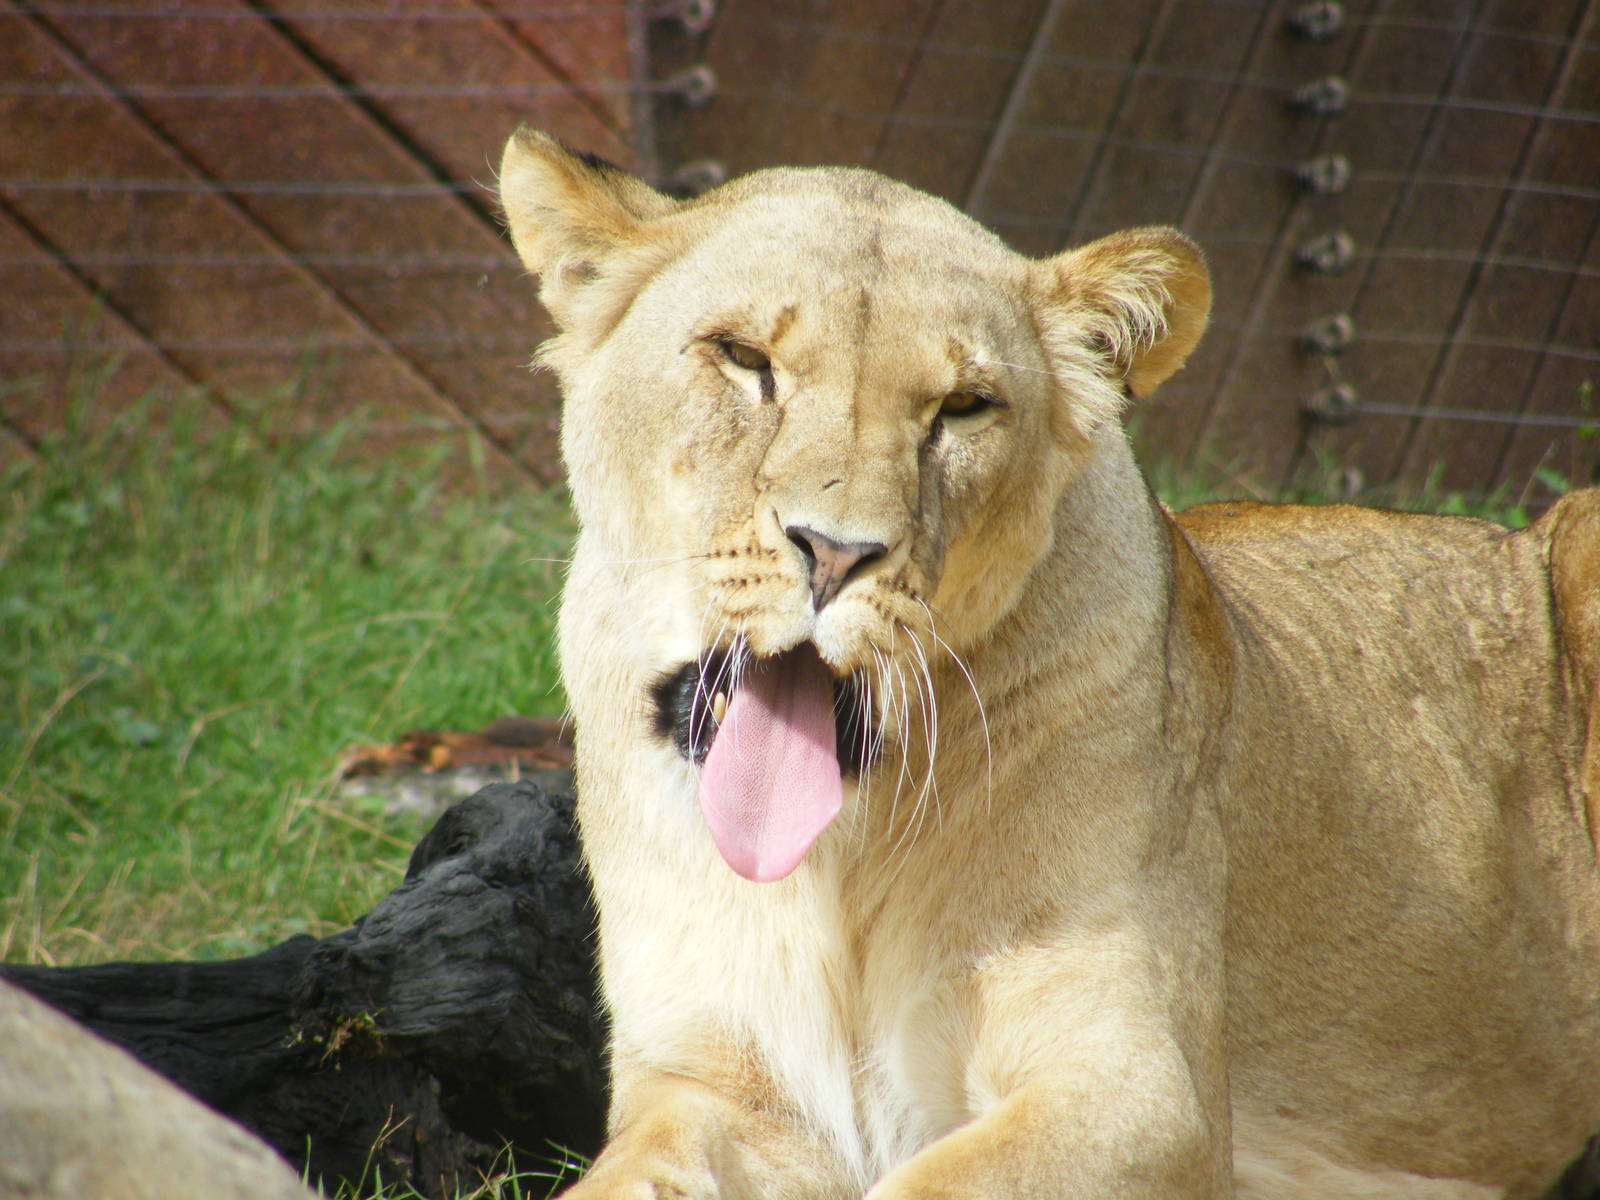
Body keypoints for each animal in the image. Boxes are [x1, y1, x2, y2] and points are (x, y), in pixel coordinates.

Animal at [497, 127, 1600, 1198]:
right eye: (740, 356)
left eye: (963, 407)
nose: (837, 552)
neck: (839, 866)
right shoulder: (718, 1089)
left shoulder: (1141, 1092)